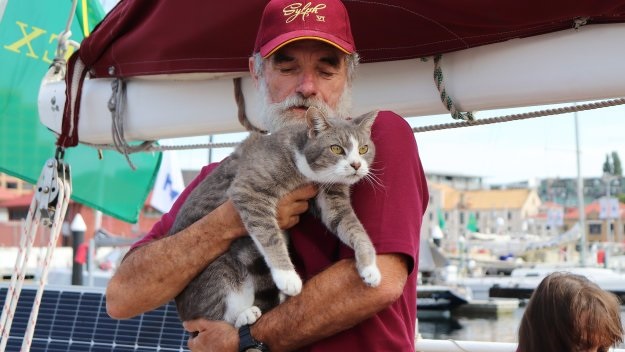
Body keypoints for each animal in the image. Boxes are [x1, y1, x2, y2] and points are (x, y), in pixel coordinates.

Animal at [173, 108, 382, 328]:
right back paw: (244, 315)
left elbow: (353, 227)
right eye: (336, 149)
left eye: (363, 149)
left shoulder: (332, 200)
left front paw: (370, 266)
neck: (307, 170)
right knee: (215, 318)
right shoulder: (249, 190)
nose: (356, 165)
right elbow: (269, 235)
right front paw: (287, 276)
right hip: (218, 270)